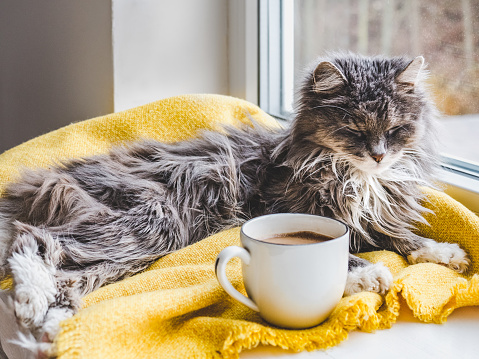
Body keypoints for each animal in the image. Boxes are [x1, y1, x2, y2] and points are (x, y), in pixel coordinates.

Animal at [0, 53, 470, 352]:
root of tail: (38, 183)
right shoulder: (287, 210)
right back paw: (30, 305)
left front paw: (448, 253)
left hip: (133, 248)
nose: (378, 155)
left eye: (394, 130)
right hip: (151, 223)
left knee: (69, 277)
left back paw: (50, 326)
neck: (356, 177)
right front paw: (369, 275)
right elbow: (342, 250)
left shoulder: (377, 218)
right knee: (35, 243)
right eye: (354, 129)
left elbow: (407, 240)